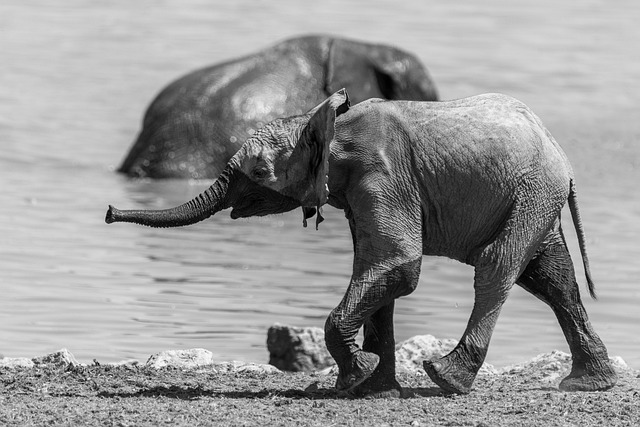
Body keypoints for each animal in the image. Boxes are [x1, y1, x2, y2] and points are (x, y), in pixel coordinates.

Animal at [107, 88, 616, 396]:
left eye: (258, 171)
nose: (110, 212)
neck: (328, 122)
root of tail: (560, 153)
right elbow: (376, 271)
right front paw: (371, 389)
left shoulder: (383, 176)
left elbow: (398, 263)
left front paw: (358, 377)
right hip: (531, 197)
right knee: (551, 278)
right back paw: (588, 383)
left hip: (532, 190)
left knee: (498, 267)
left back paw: (446, 377)